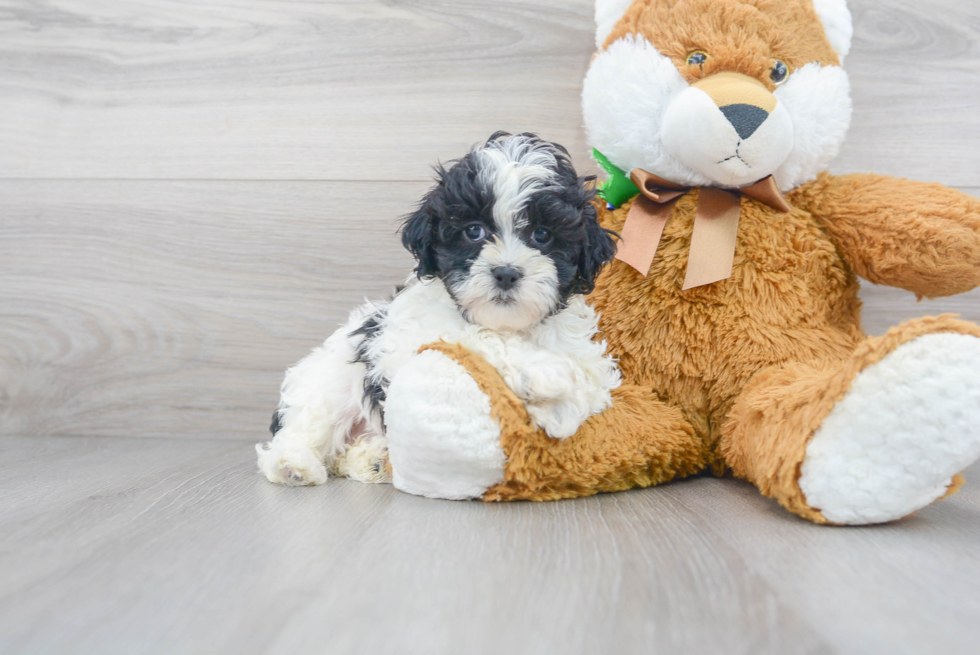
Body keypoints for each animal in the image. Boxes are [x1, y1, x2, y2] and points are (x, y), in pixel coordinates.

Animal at [256, 133, 616, 486]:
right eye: (474, 231)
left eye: (542, 234)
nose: (506, 273)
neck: (512, 325)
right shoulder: (408, 337)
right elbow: (473, 336)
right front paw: (543, 373)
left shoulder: (586, 357)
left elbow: (589, 384)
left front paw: (556, 409)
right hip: (328, 384)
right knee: (305, 426)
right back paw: (294, 465)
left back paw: (373, 460)